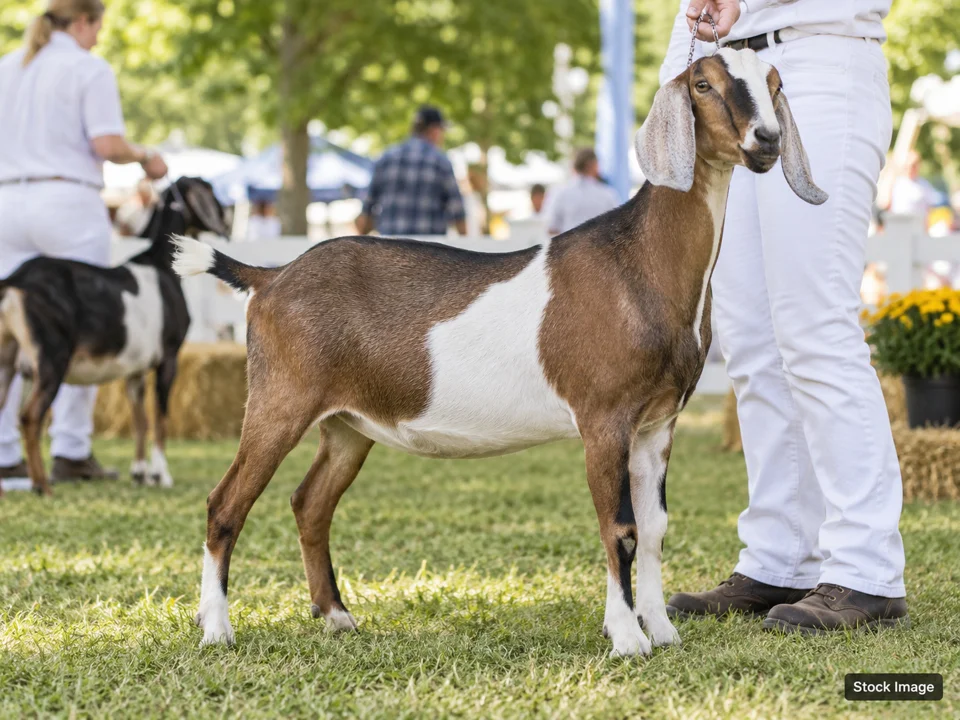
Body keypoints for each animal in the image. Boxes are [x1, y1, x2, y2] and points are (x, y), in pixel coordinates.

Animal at [175, 49, 827, 655]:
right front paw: (626, 637)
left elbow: (655, 527)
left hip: (347, 424)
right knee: (224, 503)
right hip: (279, 400)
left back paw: (335, 615)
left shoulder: (657, 424)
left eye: (774, 84)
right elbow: (619, 527)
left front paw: (662, 631)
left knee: (310, 503)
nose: (766, 140)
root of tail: (270, 276)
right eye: (703, 84)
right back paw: (217, 629)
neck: (640, 264)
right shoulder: (604, 418)